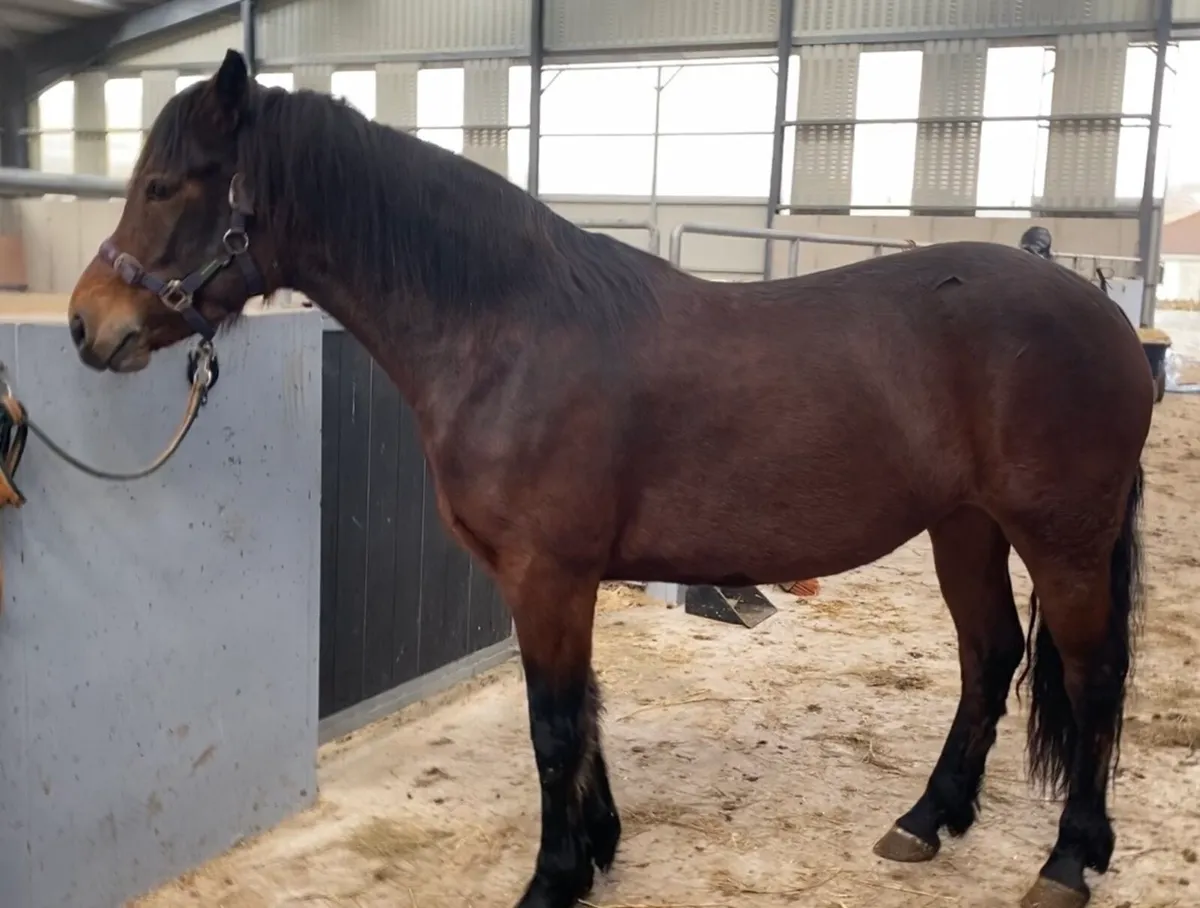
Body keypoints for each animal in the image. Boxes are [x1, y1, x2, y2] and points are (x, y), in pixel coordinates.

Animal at [65, 50, 1154, 908]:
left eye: (166, 185)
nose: (84, 324)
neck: (511, 330)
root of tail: (1100, 310)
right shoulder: (559, 579)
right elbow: (582, 710)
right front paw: (598, 849)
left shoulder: (548, 573)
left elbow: (553, 724)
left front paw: (554, 879)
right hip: (965, 525)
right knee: (989, 656)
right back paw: (928, 817)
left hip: (1060, 538)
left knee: (1092, 675)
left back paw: (1069, 859)